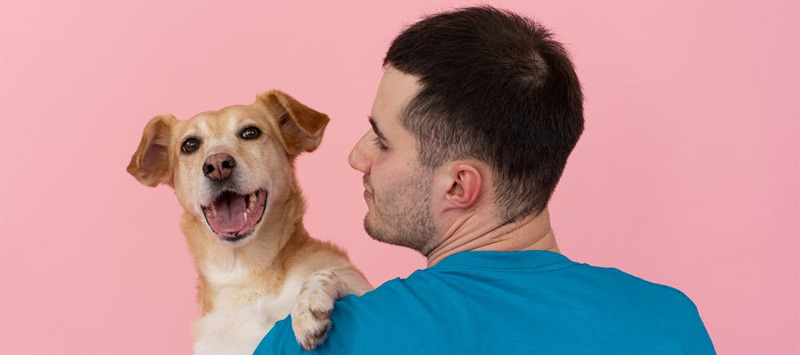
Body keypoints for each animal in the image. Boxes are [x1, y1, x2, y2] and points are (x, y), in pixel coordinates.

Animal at [126, 90, 374, 354]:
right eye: (189, 145)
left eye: (250, 133)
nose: (217, 165)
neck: (243, 271)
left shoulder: (361, 284)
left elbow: (323, 274)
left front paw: (306, 307)